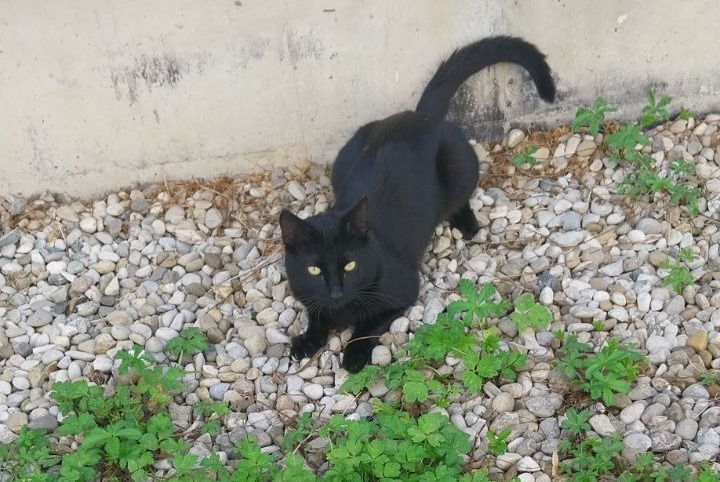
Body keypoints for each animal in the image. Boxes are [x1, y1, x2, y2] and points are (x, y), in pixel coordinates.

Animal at [278, 35, 556, 372]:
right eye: (314, 270)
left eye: (350, 264)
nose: (336, 292)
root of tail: (422, 116)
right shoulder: (309, 293)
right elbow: (316, 314)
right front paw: (307, 340)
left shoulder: (405, 290)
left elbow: (368, 324)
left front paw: (354, 354)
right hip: (343, 158)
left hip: (461, 163)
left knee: (461, 197)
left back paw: (467, 224)